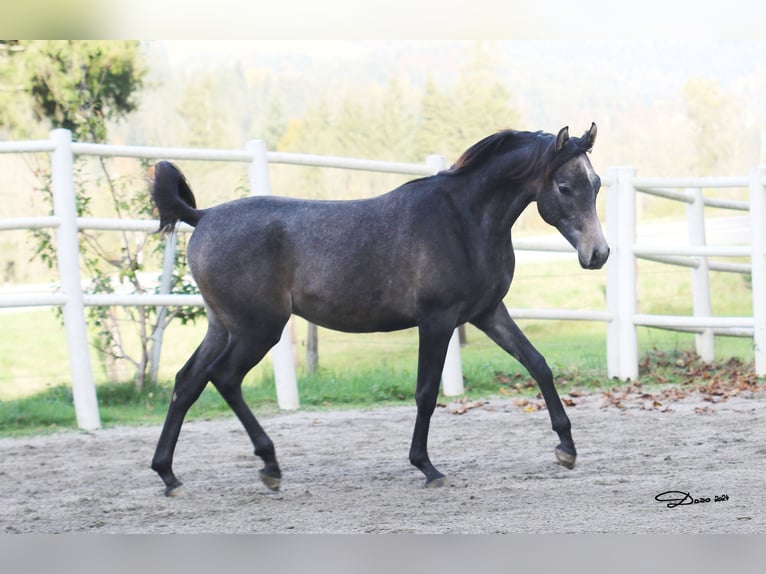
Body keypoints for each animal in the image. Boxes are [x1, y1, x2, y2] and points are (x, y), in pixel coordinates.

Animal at [149, 123, 608, 496]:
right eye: (564, 187)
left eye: (597, 183)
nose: (598, 254)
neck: (463, 219)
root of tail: (202, 217)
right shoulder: (437, 320)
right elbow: (426, 392)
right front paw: (427, 467)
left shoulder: (488, 313)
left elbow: (538, 364)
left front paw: (566, 449)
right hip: (258, 330)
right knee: (224, 379)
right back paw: (270, 466)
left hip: (223, 327)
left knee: (187, 383)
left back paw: (169, 476)